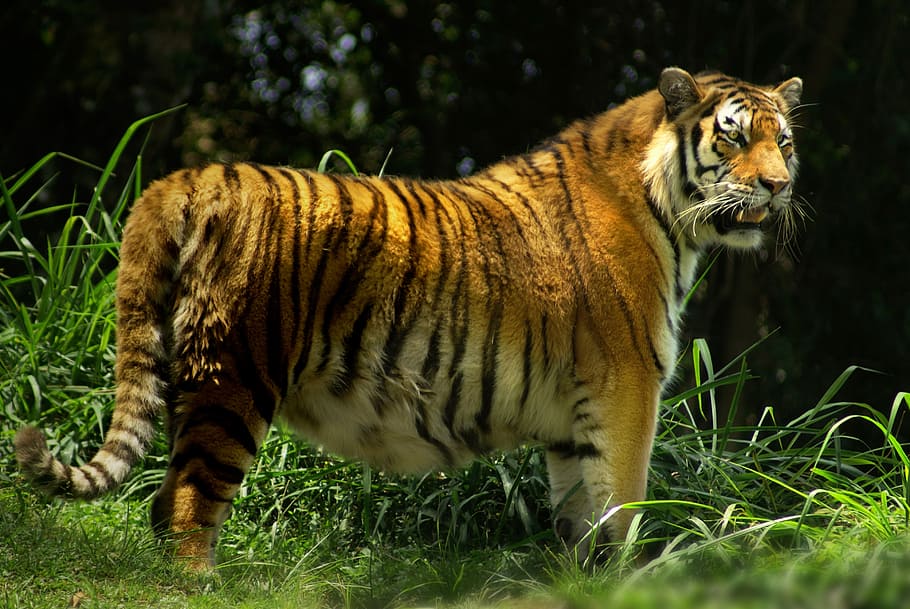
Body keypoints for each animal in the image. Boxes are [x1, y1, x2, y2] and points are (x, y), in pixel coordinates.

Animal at [14, 67, 803, 570]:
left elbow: (579, 521)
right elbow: (623, 511)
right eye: (734, 137)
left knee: (161, 498)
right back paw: (197, 582)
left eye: (785, 142)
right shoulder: (628, 388)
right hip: (233, 373)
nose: (779, 185)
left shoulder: (576, 419)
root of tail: (193, 174)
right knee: (184, 503)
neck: (664, 206)